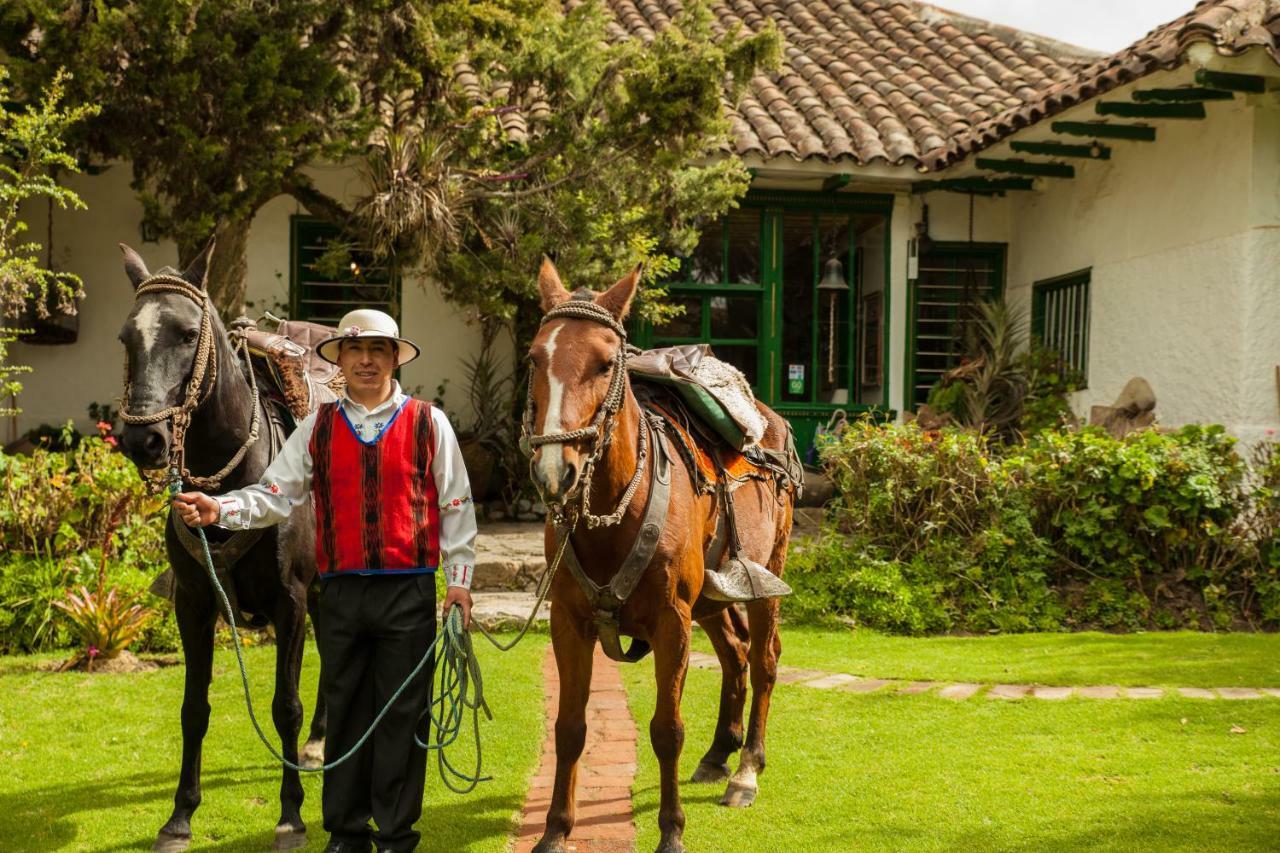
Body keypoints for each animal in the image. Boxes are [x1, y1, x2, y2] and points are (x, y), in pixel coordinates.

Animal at [116, 240, 325, 850]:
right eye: (126, 338)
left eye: (188, 334)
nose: (143, 439)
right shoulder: (193, 602)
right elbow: (193, 707)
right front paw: (180, 815)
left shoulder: (290, 599)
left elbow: (284, 706)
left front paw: (291, 813)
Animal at [524, 258, 793, 850]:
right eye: (534, 358)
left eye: (605, 363)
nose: (555, 472)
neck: (611, 511)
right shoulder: (568, 620)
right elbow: (569, 728)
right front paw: (555, 829)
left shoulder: (672, 620)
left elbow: (667, 730)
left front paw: (671, 830)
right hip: (712, 599)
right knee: (735, 653)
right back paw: (719, 752)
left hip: (768, 573)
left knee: (763, 659)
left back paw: (747, 769)